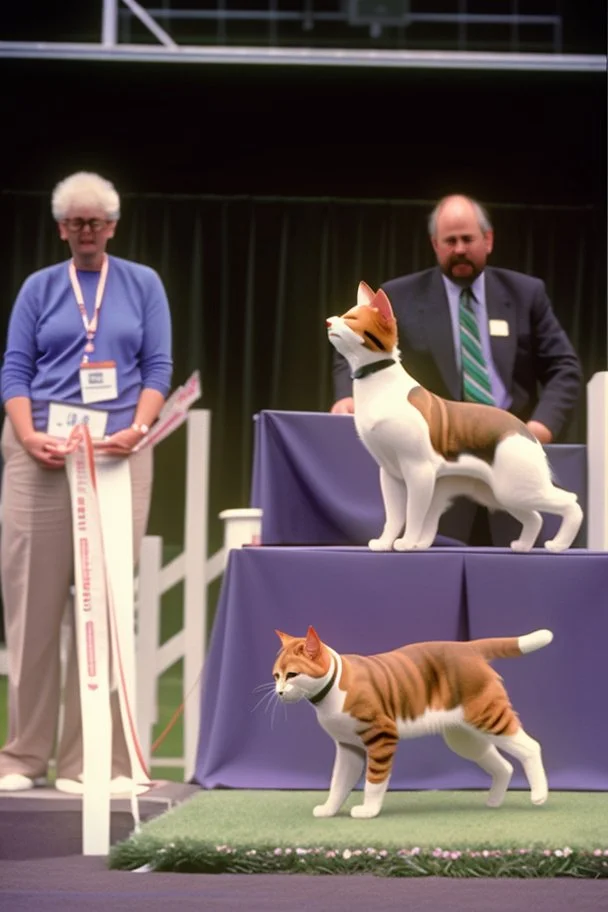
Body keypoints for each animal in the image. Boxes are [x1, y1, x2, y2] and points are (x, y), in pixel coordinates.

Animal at [328, 282, 584, 552]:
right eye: (345, 314)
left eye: (352, 319)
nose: (328, 321)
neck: (379, 382)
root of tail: (527, 431)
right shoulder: (390, 474)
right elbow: (394, 516)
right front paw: (385, 543)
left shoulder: (418, 470)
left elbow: (413, 513)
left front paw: (407, 543)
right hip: (500, 493)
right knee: (534, 517)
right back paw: (523, 546)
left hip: (516, 488)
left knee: (571, 503)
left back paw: (558, 545)